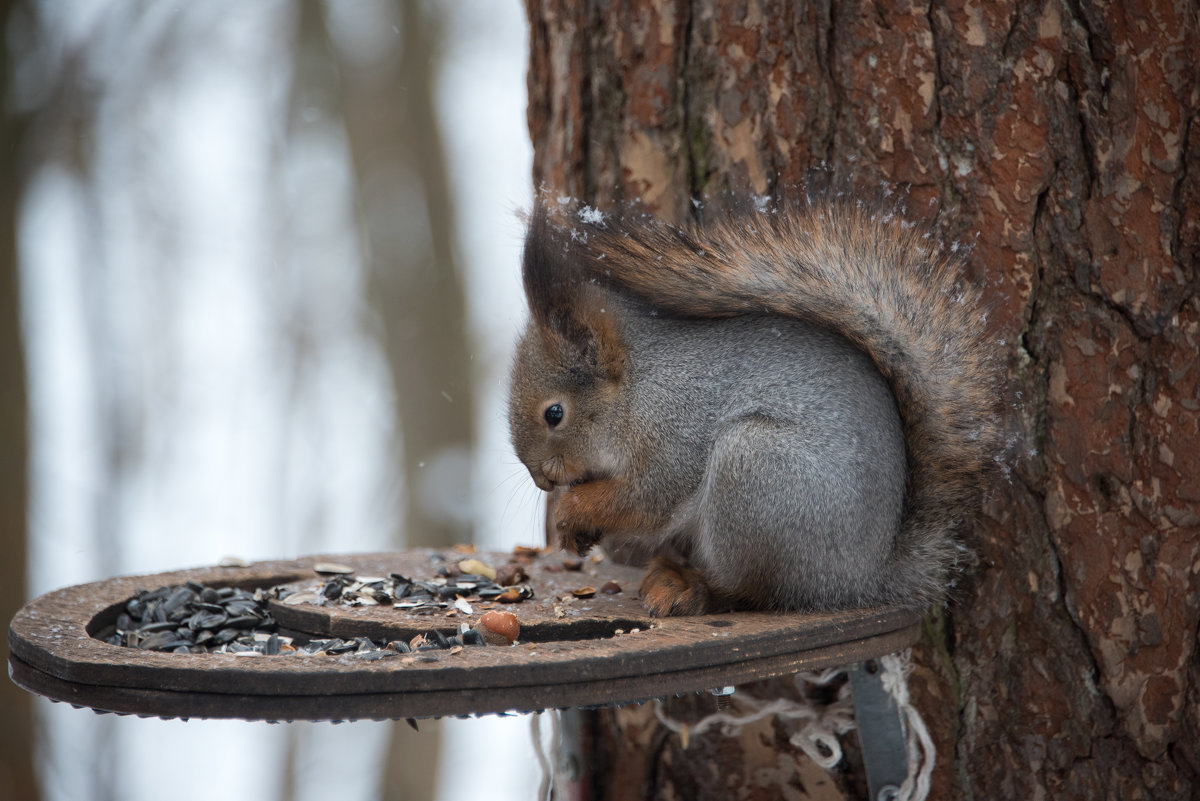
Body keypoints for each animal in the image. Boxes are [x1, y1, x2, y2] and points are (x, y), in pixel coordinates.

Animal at [511, 196, 998, 618]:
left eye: (554, 414)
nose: (540, 480)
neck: (636, 388)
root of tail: (863, 577)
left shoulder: (674, 432)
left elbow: (646, 498)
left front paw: (574, 512)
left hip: (754, 474)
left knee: (752, 592)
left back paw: (691, 587)